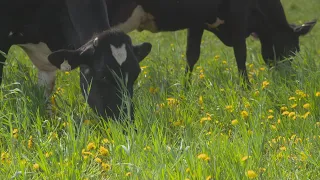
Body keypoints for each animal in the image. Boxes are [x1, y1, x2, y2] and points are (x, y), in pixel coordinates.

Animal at [107, 0, 316, 84]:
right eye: (293, 49)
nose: (287, 78)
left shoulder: (196, 21)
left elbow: (191, 55)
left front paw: (185, 90)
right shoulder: (239, 15)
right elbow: (241, 54)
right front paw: (246, 88)